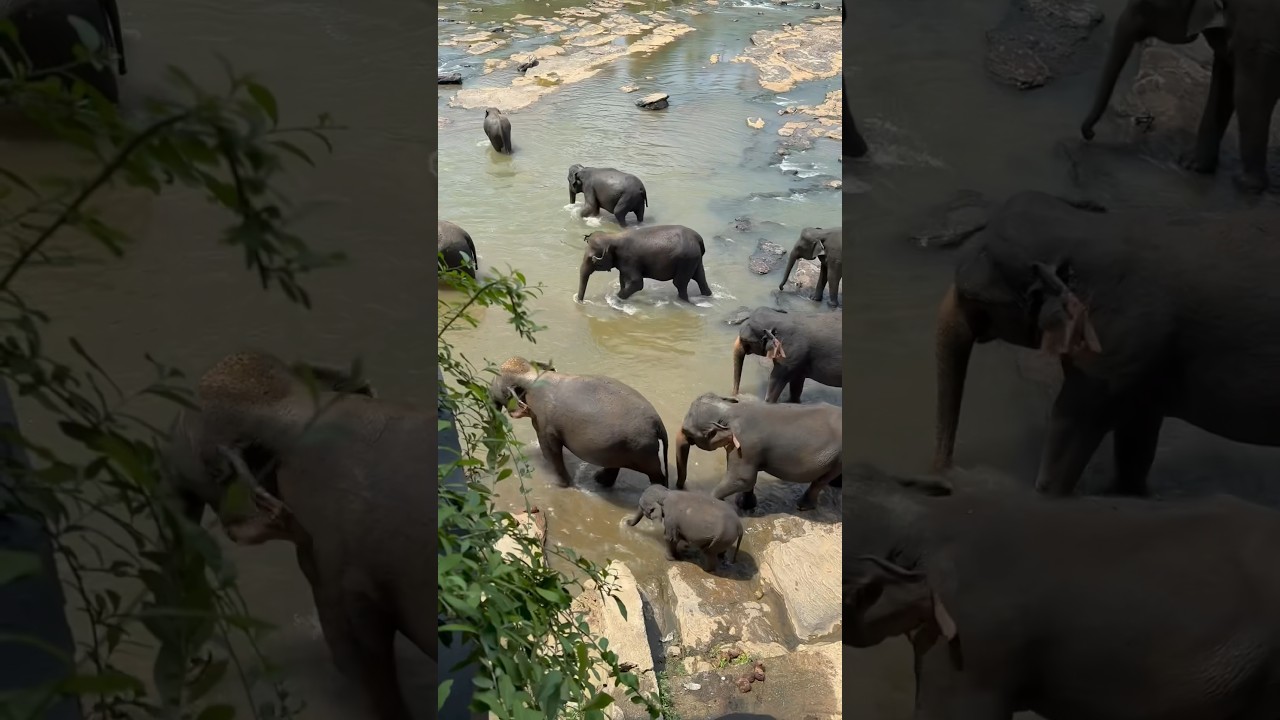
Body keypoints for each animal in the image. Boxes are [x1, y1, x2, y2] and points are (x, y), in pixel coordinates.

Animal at [488, 356, 669, 487]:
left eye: (495, 382)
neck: (531, 375)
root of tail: (658, 424)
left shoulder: (543, 420)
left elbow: (551, 450)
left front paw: (559, 485)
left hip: (642, 450)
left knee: (656, 474)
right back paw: (599, 481)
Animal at [576, 224, 712, 304]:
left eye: (591, 259)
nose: (580, 302)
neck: (613, 237)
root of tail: (699, 239)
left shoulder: (630, 261)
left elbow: (637, 283)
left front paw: (615, 300)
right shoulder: (624, 264)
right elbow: (623, 279)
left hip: (686, 260)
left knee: (680, 283)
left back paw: (685, 302)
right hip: (695, 260)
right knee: (700, 279)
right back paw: (707, 296)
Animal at [675, 392, 841, 511]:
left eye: (688, 432)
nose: (679, 487)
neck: (730, 410)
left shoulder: (745, 445)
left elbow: (742, 478)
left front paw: (713, 501)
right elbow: (748, 481)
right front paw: (744, 505)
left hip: (838, 458)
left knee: (820, 481)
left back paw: (802, 506)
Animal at [932, 190, 1280, 498]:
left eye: (976, 299)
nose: (946, 479)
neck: (1089, 228)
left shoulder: (1116, 354)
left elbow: (1073, 424)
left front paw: (1045, 494)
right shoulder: (1143, 371)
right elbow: (1137, 434)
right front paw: (1126, 493)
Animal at [1078, 0, 1280, 193]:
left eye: (1147, 5)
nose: (1090, 134)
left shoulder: (1258, 36)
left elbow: (1248, 95)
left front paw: (1245, 184)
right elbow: (1223, 84)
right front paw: (1190, 164)